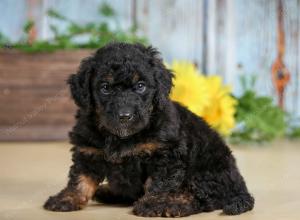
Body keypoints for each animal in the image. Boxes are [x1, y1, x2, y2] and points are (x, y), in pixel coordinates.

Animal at [44, 42, 253, 217]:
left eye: (140, 86)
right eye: (105, 88)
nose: (125, 116)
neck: (121, 137)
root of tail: (240, 186)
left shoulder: (167, 155)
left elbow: (160, 184)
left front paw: (153, 203)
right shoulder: (88, 151)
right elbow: (80, 177)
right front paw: (66, 198)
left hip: (206, 171)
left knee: (202, 198)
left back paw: (174, 205)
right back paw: (108, 191)